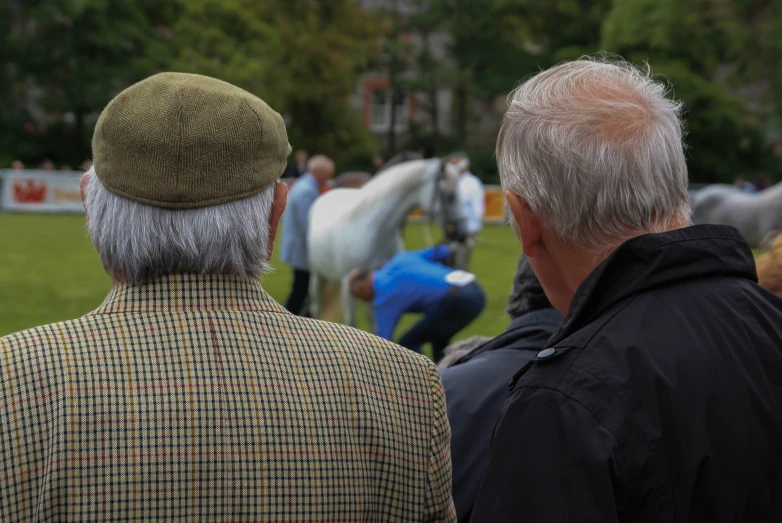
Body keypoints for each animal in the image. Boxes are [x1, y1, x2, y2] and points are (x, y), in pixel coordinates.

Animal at [306, 158, 466, 326]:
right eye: (450, 196)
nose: (461, 235)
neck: (372, 230)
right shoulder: (348, 286)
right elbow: (351, 322)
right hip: (317, 278)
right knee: (316, 307)